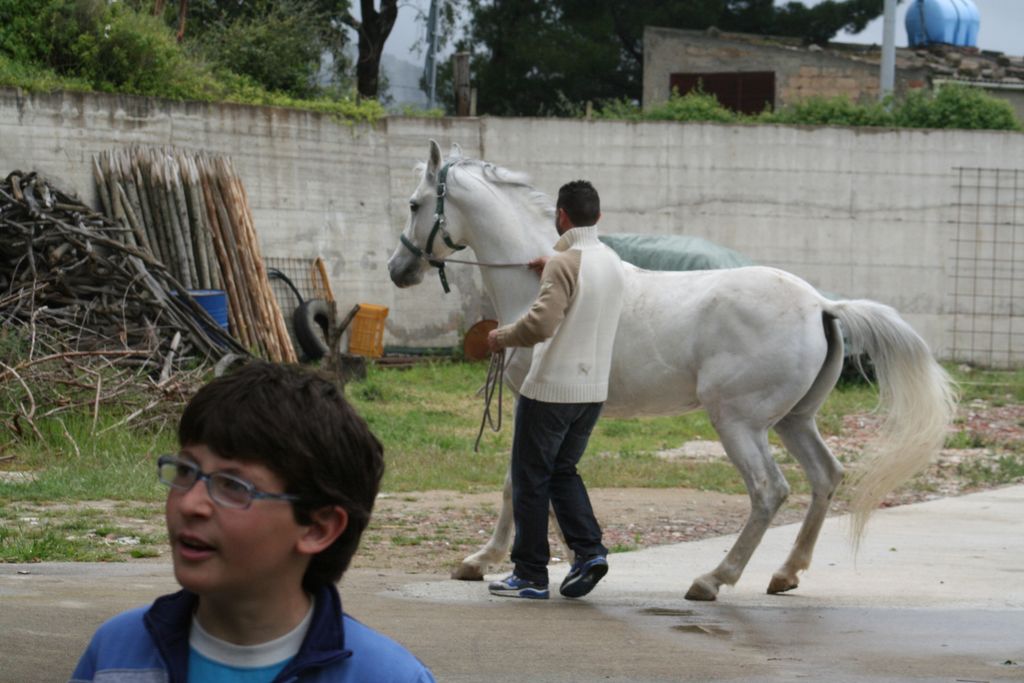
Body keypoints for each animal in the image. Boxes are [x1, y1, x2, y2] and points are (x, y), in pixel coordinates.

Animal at [387, 140, 956, 601]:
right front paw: (564, 563)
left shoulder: (536, 403)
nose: (398, 269)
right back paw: (785, 574)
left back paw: (714, 579)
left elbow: (516, 481)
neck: (540, 275)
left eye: (415, 204)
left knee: (769, 490)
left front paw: (485, 561)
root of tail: (821, 304)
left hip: (739, 423)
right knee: (826, 477)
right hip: (794, 421)